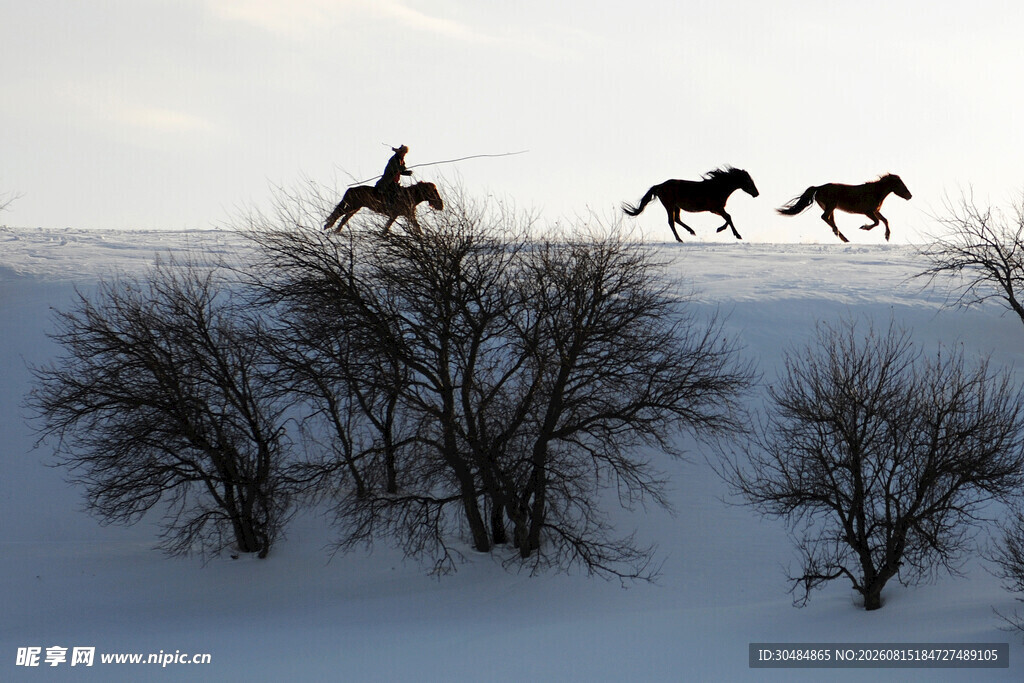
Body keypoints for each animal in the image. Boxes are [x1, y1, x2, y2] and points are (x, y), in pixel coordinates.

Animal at [621, 167, 760, 241]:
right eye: (748, 181)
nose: (757, 193)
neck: (717, 187)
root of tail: (660, 186)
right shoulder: (716, 208)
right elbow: (729, 217)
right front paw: (736, 235)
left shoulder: (716, 209)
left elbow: (728, 217)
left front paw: (720, 229)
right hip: (669, 205)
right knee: (671, 221)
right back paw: (680, 239)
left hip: (676, 206)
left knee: (676, 219)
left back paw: (692, 231)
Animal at [776, 174, 912, 242]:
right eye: (900, 184)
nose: (910, 196)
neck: (875, 192)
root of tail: (818, 188)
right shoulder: (868, 211)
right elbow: (877, 222)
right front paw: (864, 227)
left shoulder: (875, 211)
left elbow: (885, 220)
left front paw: (887, 236)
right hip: (831, 206)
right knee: (824, 217)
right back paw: (839, 234)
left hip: (831, 208)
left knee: (829, 219)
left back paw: (842, 237)